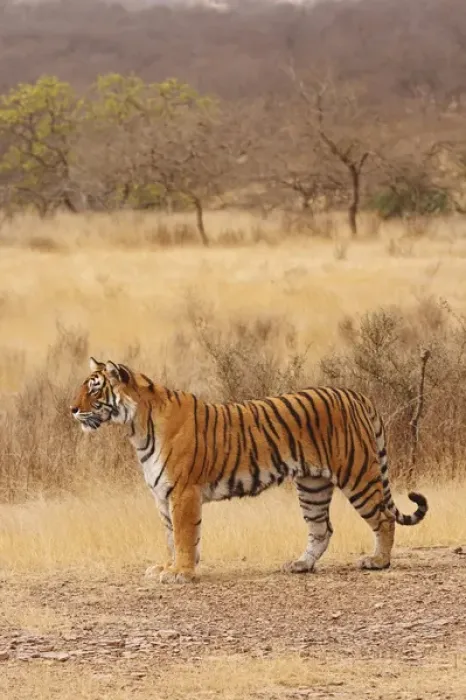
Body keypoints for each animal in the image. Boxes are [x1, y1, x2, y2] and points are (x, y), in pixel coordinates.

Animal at [70, 357, 428, 584]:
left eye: (94, 388)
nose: (71, 409)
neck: (136, 428)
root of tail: (356, 394)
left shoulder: (183, 492)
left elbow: (184, 536)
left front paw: (181, 573)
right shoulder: (162, 496)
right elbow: (171, 537)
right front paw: (168, 567)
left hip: (358, 474)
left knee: (383, 517)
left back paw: (378, 562)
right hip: (312, 485)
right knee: (322, 529)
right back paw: (301, 564)